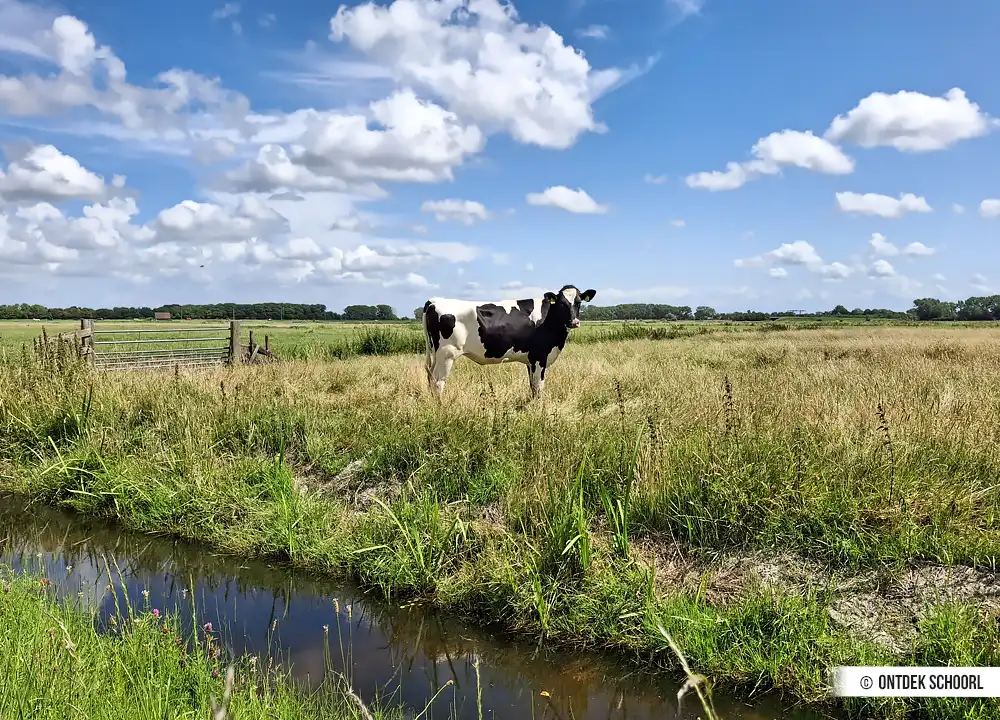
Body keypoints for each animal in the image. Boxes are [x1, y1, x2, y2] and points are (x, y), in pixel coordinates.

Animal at [421, 285, 597, 399]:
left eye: (579, 302)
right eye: (561, 303)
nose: (574, 322)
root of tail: (435, 301)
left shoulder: (531, 360)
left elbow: (532, 387)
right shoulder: (540, 357)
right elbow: (539, 388)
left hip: (437, 355)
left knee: (430, 379)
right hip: (447, 354)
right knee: (438, 382)